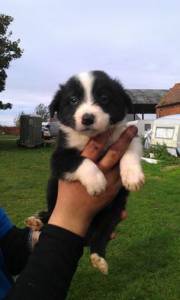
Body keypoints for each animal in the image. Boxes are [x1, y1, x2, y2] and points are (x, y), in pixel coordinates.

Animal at [45, 70, 145, 274]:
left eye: (104, 98)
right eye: (73, 100)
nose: (88, 118)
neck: (91, 137)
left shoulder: (127, 136)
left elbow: (130, 150)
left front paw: (132, 177)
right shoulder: (59, 157)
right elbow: (81, 161)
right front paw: (97, 182)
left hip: (114, 211)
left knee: (101, 234)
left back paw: (98, 257)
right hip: (52, 188)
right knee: (49, 213)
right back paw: (36, 220)